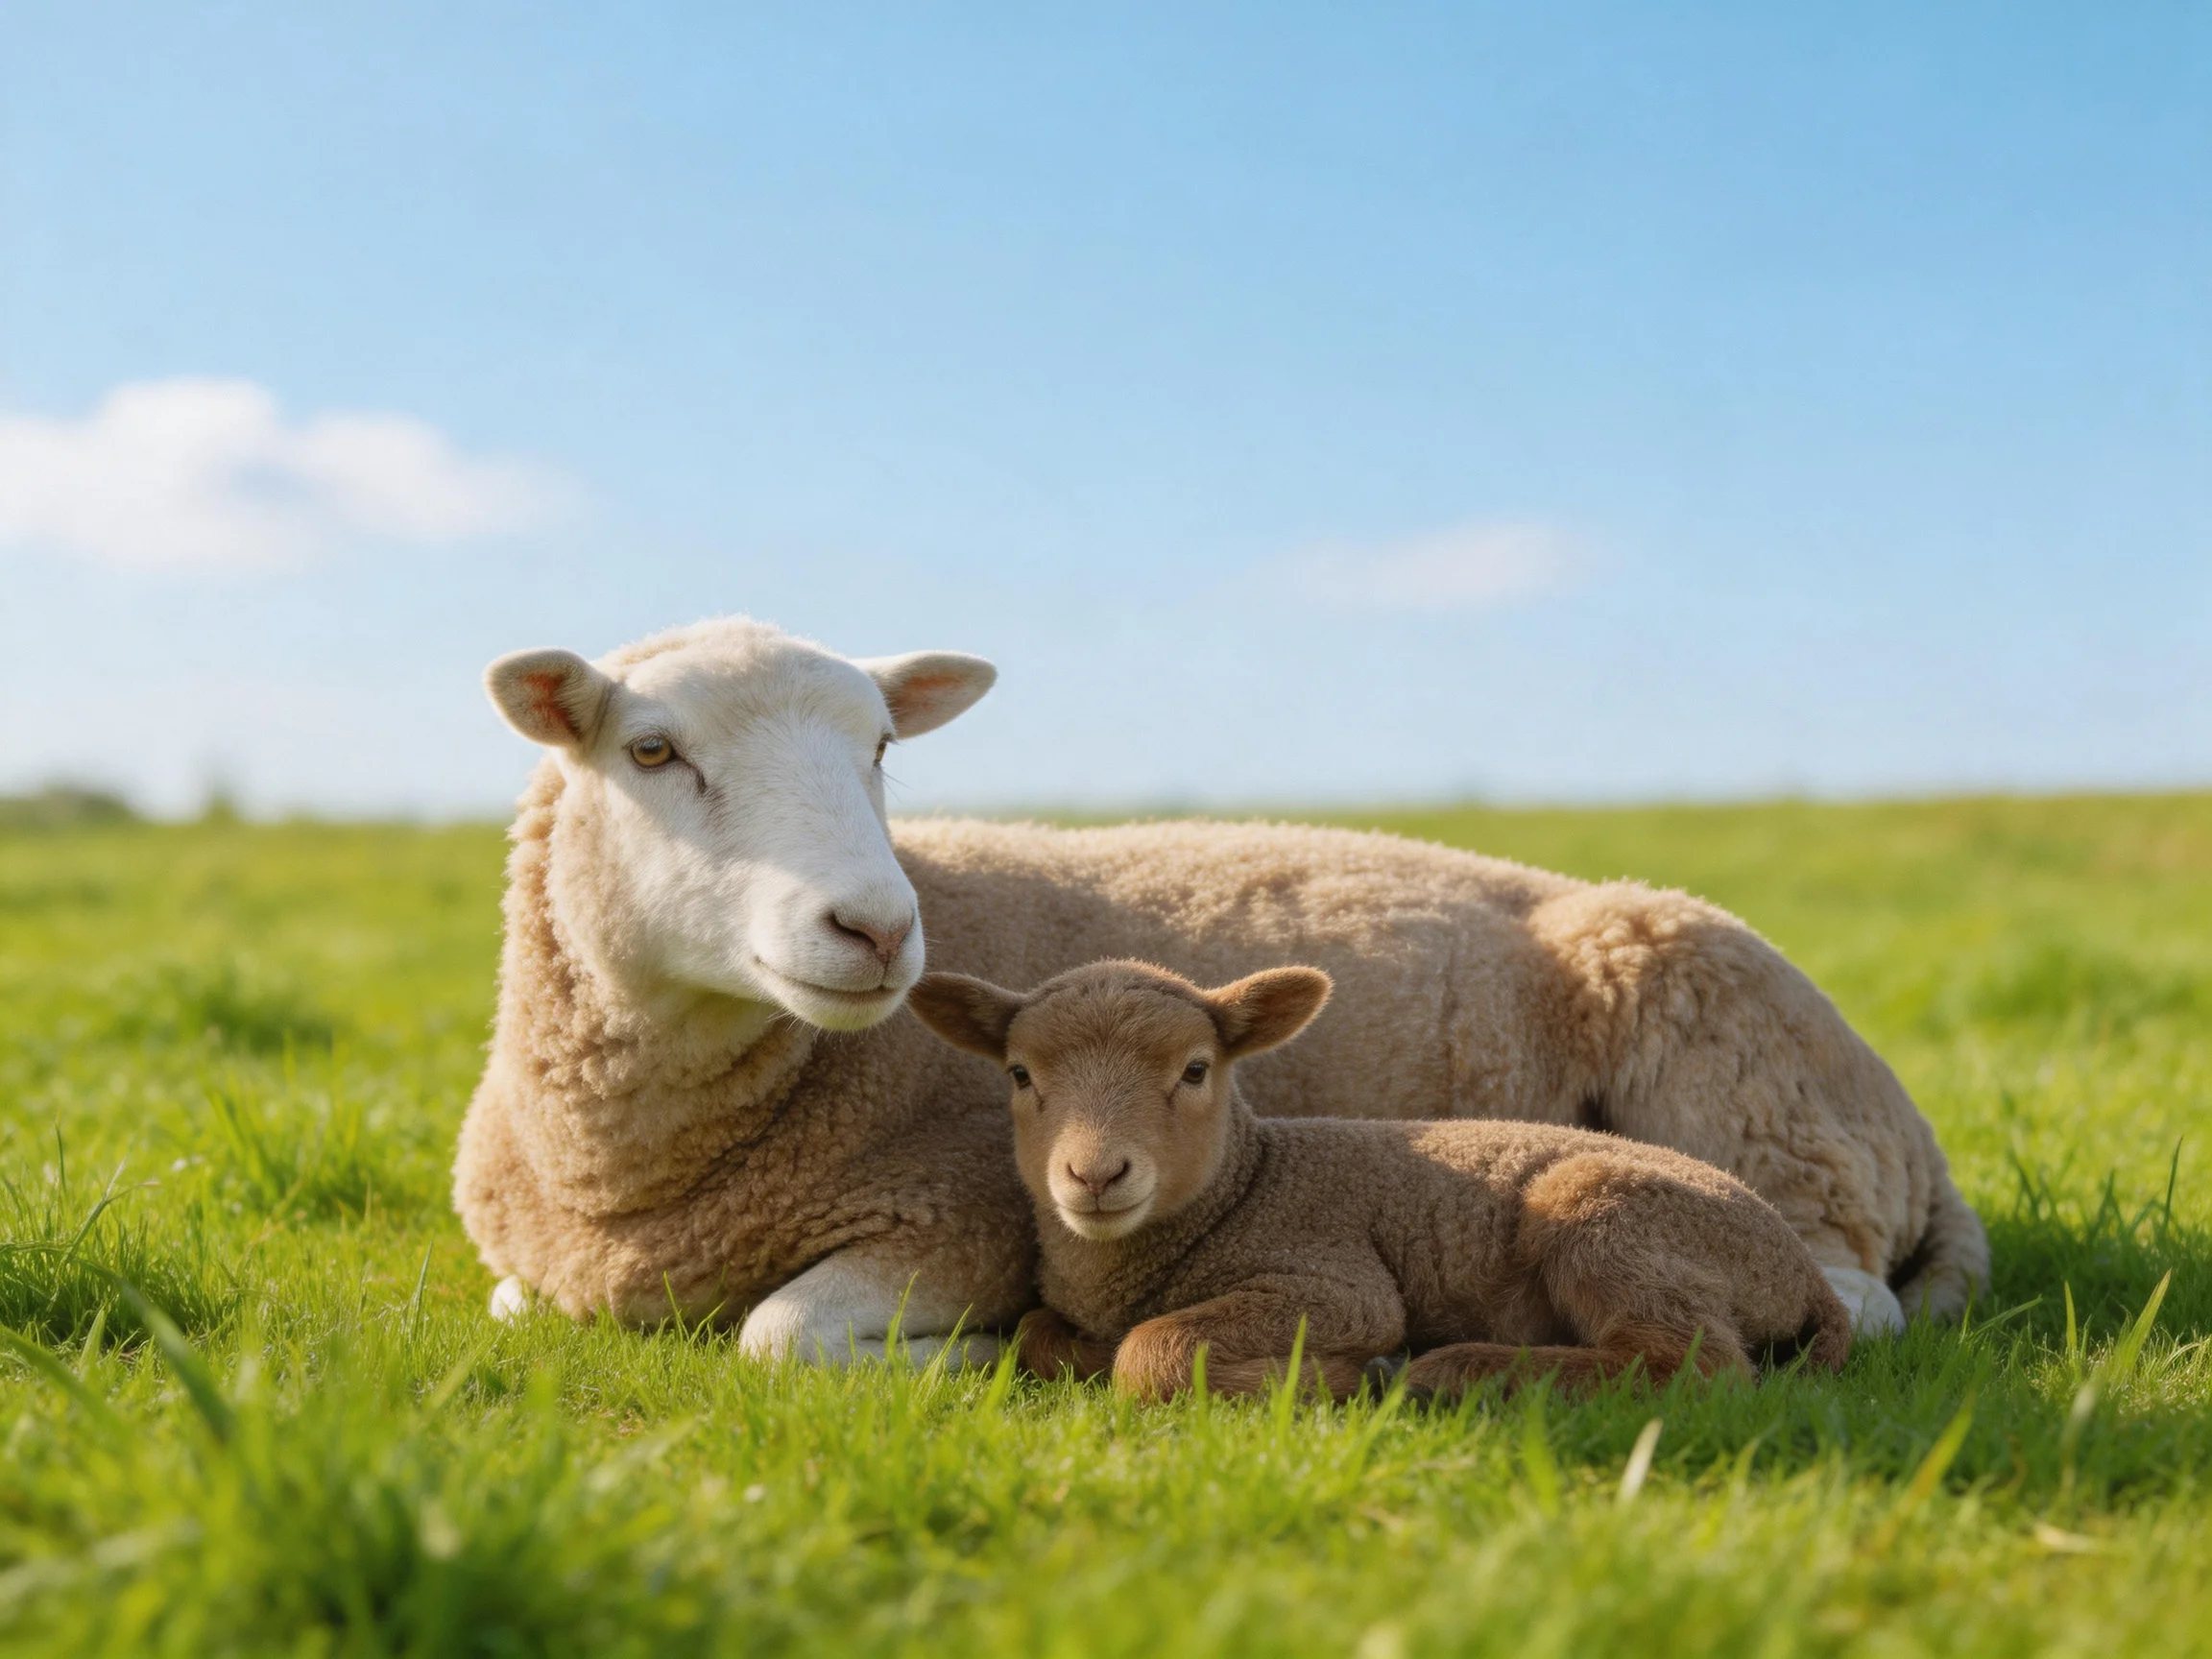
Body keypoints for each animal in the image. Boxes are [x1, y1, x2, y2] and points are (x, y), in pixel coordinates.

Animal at [907, 960, 1853, 1399]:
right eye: (1020, 1075)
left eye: (1195, 1070)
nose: (1095, 1173)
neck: (1244, 1186)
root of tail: (1802, 1270)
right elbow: (1035, 1332)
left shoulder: (1335, 1280)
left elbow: (1152, 1350)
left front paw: (1319, 1379)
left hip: (1614, 1217)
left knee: (1693, 1365)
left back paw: (1448, 1372)